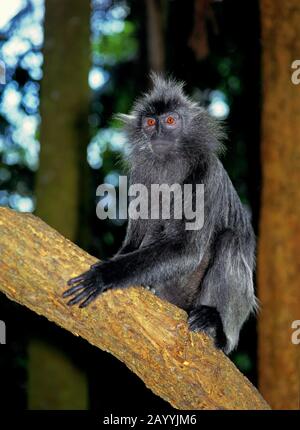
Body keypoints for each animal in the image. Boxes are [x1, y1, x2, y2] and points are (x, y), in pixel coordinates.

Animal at [63, 74, 258, 354]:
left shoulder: (205, 171)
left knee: (230, 241)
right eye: (150, 122)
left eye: (170, 121)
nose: (158, 133)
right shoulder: (141, 177)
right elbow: (135, 239)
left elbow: (187, 250)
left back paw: (217, 328)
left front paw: (105, 275)